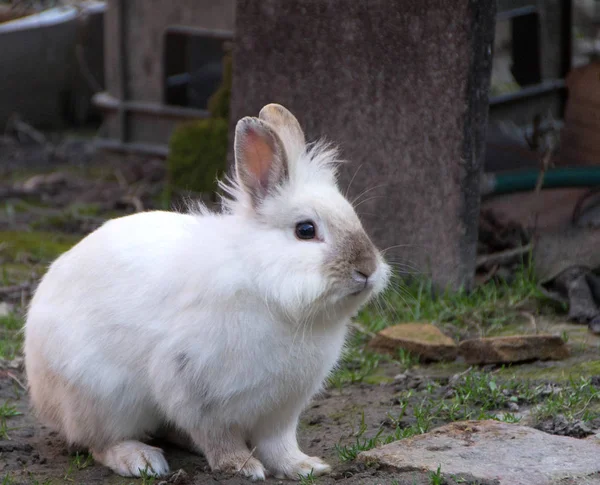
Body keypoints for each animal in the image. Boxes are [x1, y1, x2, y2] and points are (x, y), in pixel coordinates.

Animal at [23, 104, 392, 478]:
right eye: (305, 230)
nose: (367, 269)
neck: (263, 284)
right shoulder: (194, 388)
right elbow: (217, 437)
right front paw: (242, 466)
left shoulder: (282, 407)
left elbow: (278, 443)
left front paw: (303, 466)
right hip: (101, 398)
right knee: (99, 441)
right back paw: (140, 460)